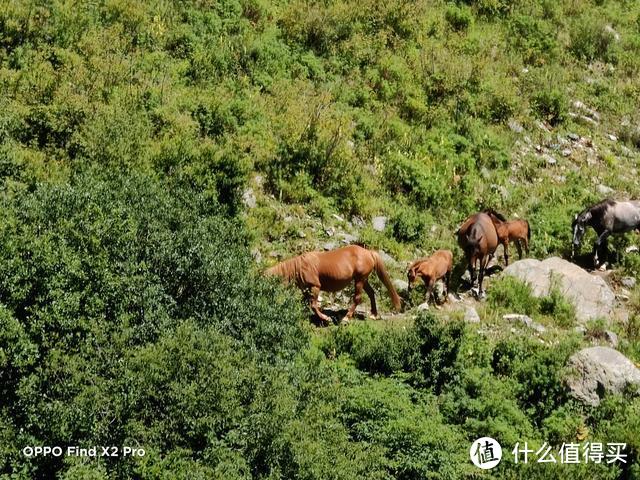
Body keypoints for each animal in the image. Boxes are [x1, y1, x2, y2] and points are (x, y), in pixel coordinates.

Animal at [264, 244, 400, 326]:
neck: (299, 267)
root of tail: (368, 252)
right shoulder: (306, 289)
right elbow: (303, 303)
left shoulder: (315, 287)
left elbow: (313, 305)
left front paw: (326, 319)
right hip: (363, 279)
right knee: (371, 293)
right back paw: (373, 315)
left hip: (360, 280)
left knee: (357, 298)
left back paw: (346, 318)